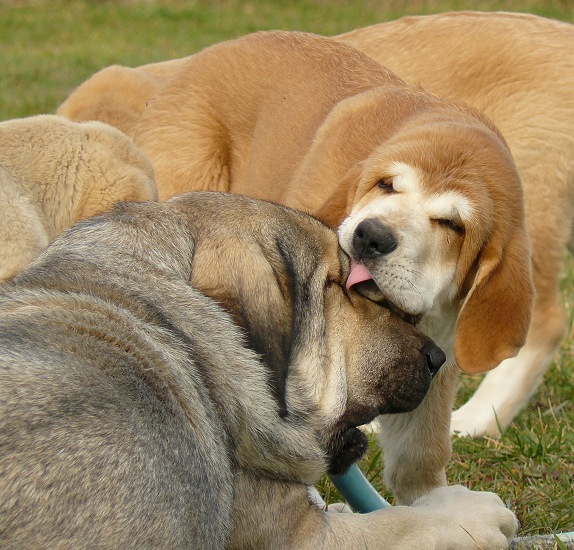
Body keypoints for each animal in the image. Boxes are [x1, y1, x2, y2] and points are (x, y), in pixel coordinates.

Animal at [58, 30, 536, 506]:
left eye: (453, 224)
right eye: (387, 185)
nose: (371, 236)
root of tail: (201, 57)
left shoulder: (435, 362)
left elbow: (419, 457)